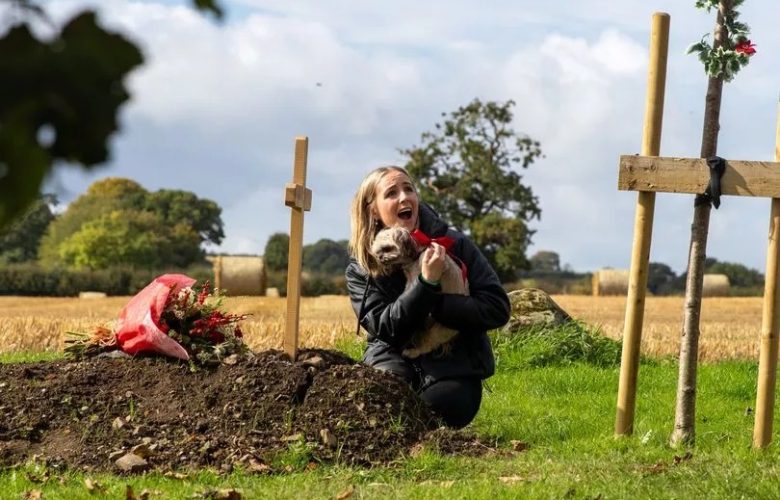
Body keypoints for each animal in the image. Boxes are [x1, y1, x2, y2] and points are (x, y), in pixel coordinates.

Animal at [368, 227, 466, 360]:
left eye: (387, 248)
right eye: (377, 252)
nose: (380, 257)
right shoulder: (410, 281)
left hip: (438, 330)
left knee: (428, 345)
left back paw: (412, 352)